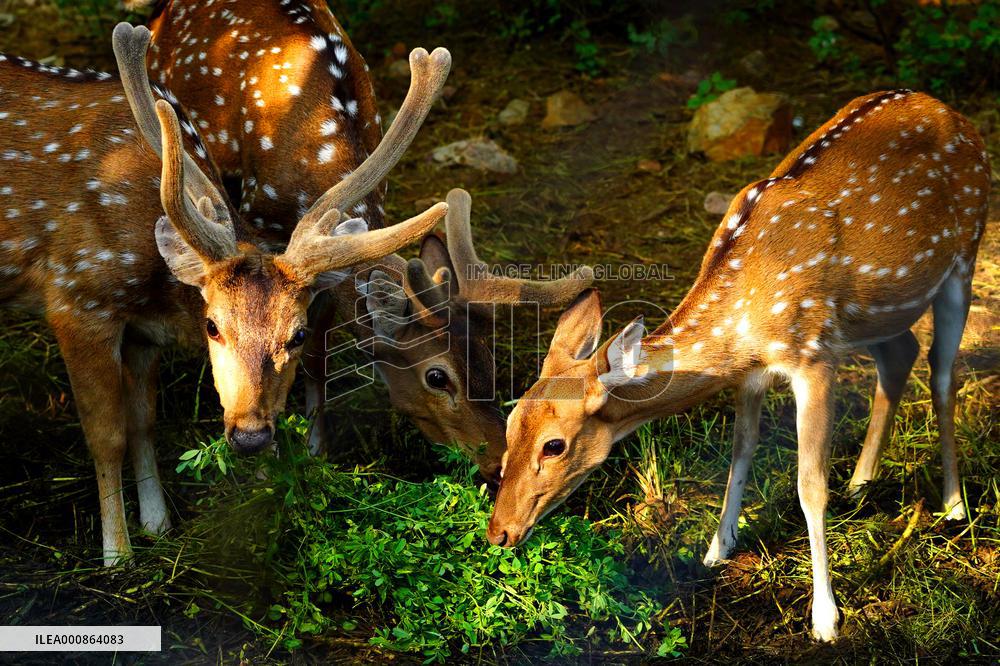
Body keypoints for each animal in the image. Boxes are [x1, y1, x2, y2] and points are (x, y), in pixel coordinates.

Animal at [0, 22, 452, 566]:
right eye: (212, 325)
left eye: (299, 334)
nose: (251, 436)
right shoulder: (76, 295)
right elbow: (107, 435)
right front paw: (118, 554)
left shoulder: (143, 331)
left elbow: (143, 422)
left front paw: (158, 525)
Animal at [486, 90, 990, 641]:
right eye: (510, 425)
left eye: (554, 445)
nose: (498, 531)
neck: (743, 323)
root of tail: (952, 112)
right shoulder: (750, 372)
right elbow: (740, 452)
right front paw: (716, 549)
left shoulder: (814, 356)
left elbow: (809, 485)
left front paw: (825, 617)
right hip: (878, 310)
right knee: (902, 355)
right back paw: (861, 482)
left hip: (965, 255)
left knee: (943, 373)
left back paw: (953, 505)